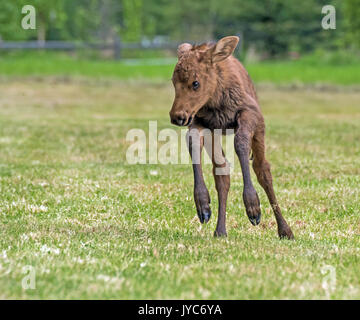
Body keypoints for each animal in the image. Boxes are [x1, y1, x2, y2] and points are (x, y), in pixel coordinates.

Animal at [168, 36, 292, 239]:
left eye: (195, 83)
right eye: (173, 81)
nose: (177, 116)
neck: (216, 100)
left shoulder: (250, 112)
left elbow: (240, 143)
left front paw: (253, 207)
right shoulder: (200, 120)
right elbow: (193, 142)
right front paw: (203, 204)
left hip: (259, 129)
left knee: (263, 170)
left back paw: (285, 230)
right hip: (214, 131)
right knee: (222, 171)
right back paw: (220, 230)